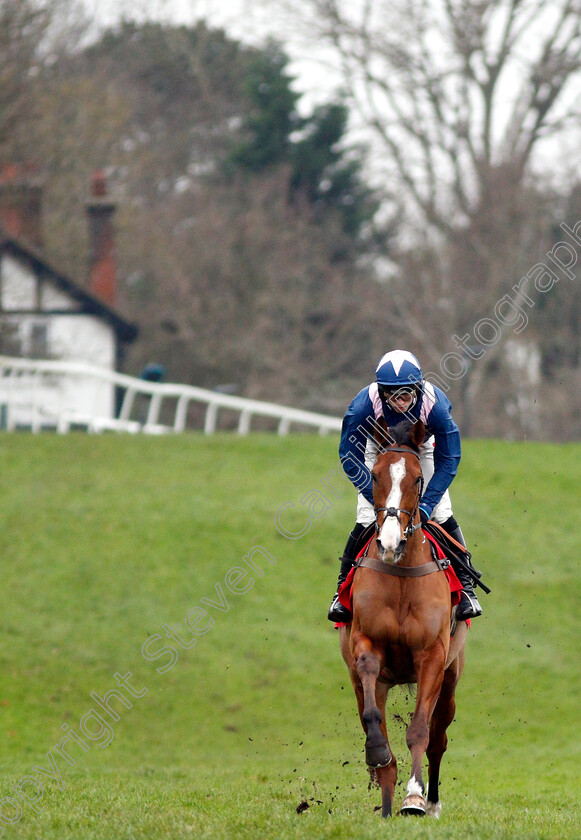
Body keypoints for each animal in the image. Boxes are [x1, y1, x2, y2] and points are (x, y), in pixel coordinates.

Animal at [340, 424, 466, 816]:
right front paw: (379, 756)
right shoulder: (364, 644)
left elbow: (420, 731)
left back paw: (432, 801)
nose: (390, 543)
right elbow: (372, 718)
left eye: (417, 478)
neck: (400, 574)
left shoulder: (433, 656)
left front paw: (414, 796)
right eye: (375, 475)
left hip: (451, 679)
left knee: (438, 738)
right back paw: (384, 800)